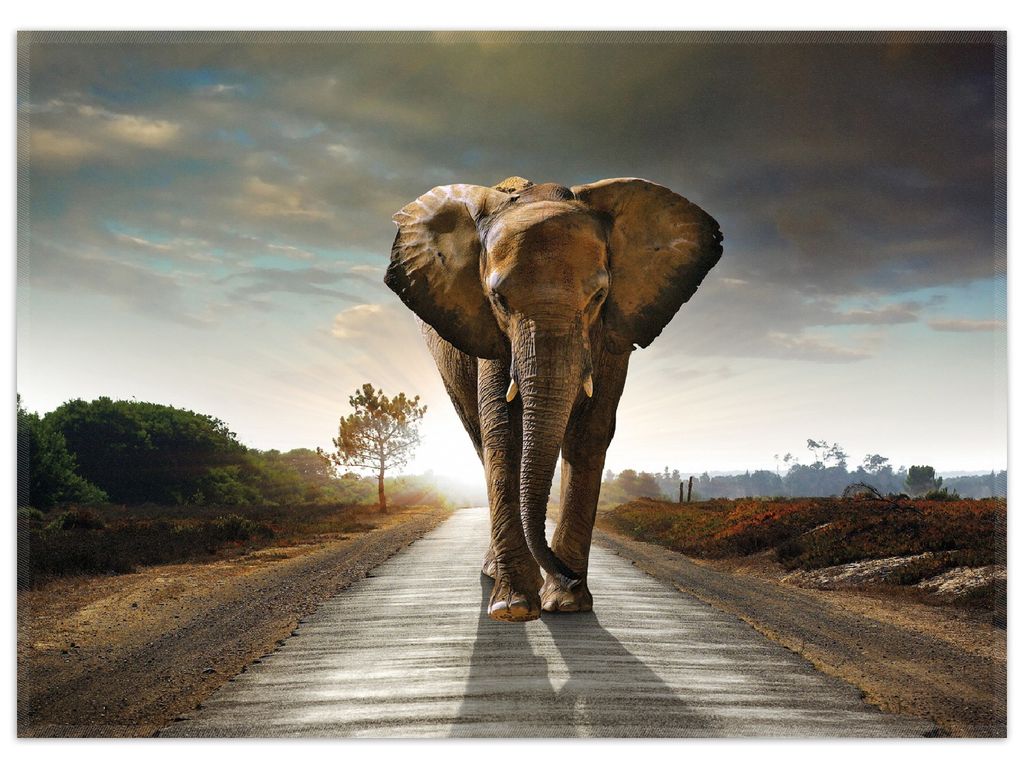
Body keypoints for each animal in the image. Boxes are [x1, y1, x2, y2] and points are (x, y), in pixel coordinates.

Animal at [385, 176, 722, 622]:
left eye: (598, 296)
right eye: (498, 299)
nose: (569, 576)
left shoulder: (613, 332)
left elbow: (589, 432)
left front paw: (566, 604)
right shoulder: (490, 334)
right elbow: (503, 432)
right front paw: (514, 607)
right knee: (479, 438)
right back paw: (495, 575)